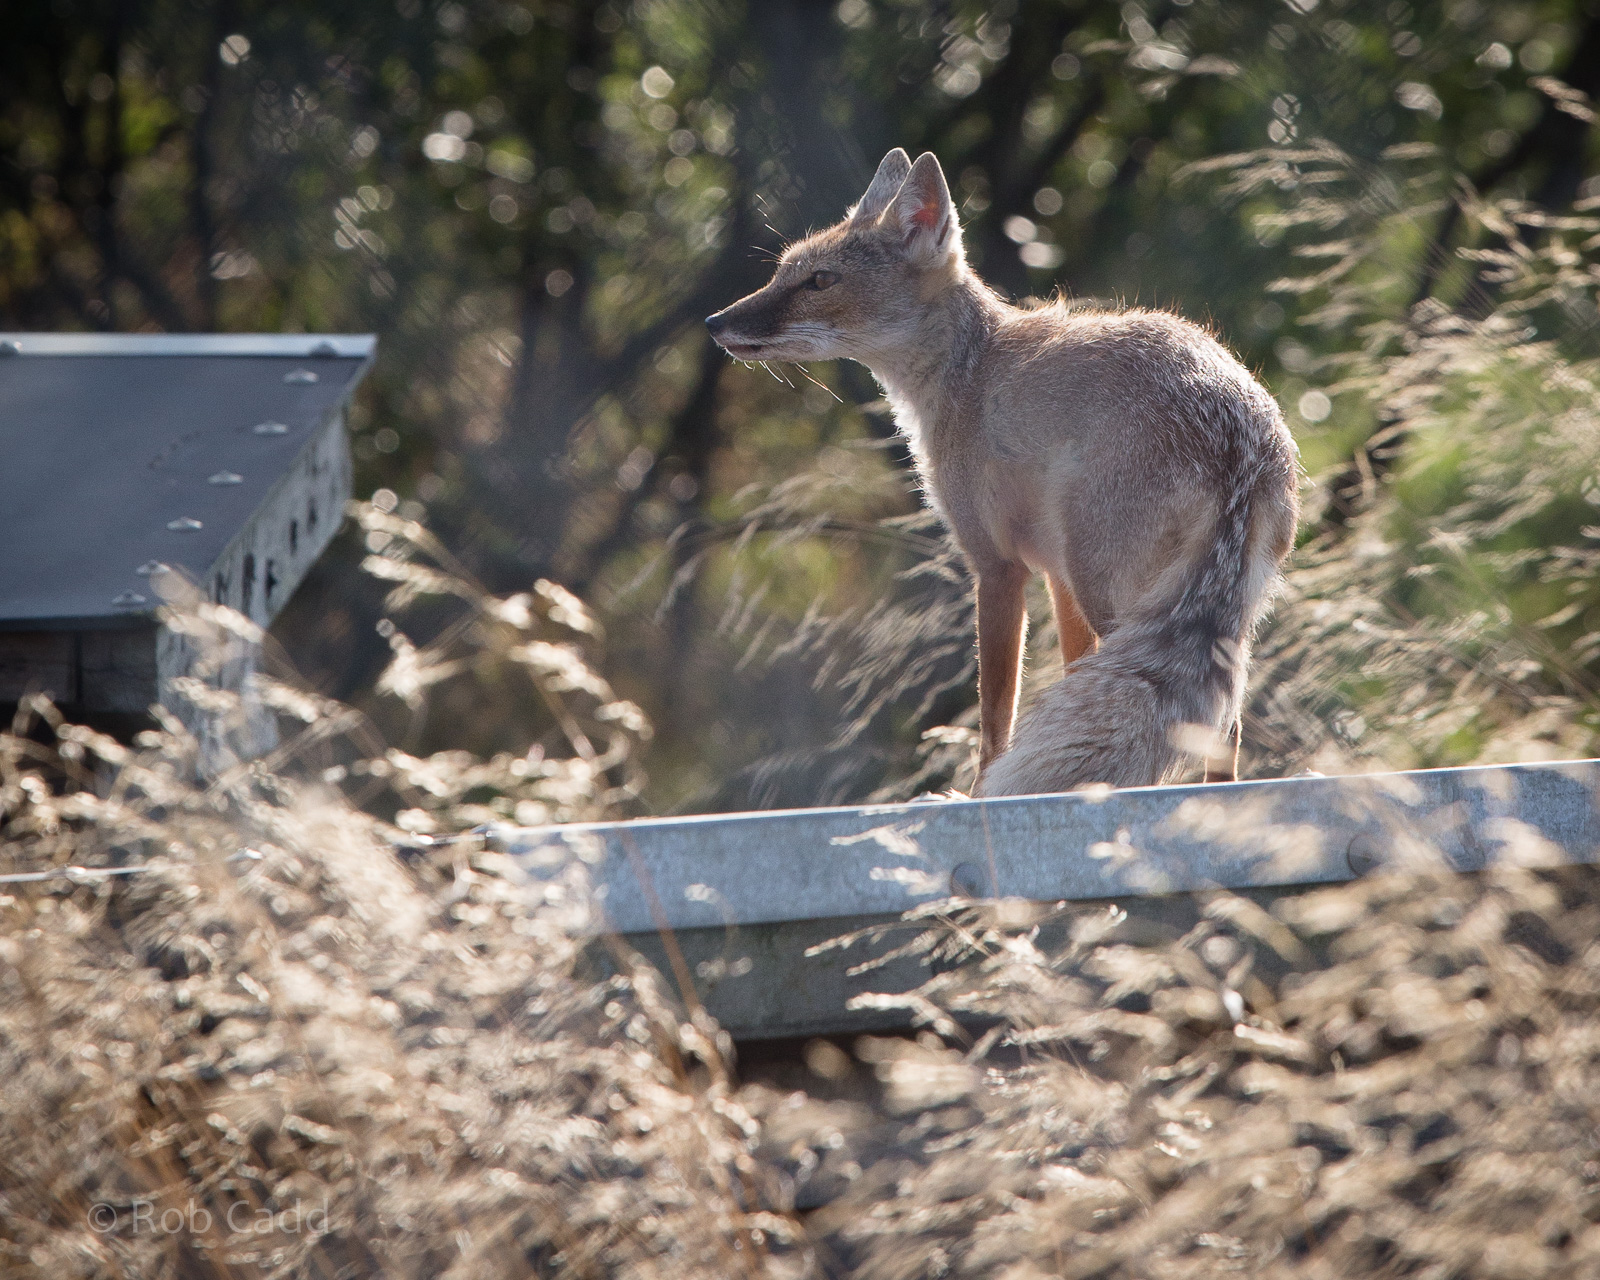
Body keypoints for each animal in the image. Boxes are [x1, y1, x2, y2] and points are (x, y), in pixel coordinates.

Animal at [705, 148, 1298, 796]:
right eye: (781, 273)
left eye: (819, 282)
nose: (714, 321)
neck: (969, 368)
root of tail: (1238, 430)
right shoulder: (1056, 578)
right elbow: (1067, 674)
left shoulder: (996, 567)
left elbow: (995, 722)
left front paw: (976, 795)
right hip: (1167, 606)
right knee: (1226, 721)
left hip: (1113, 596)